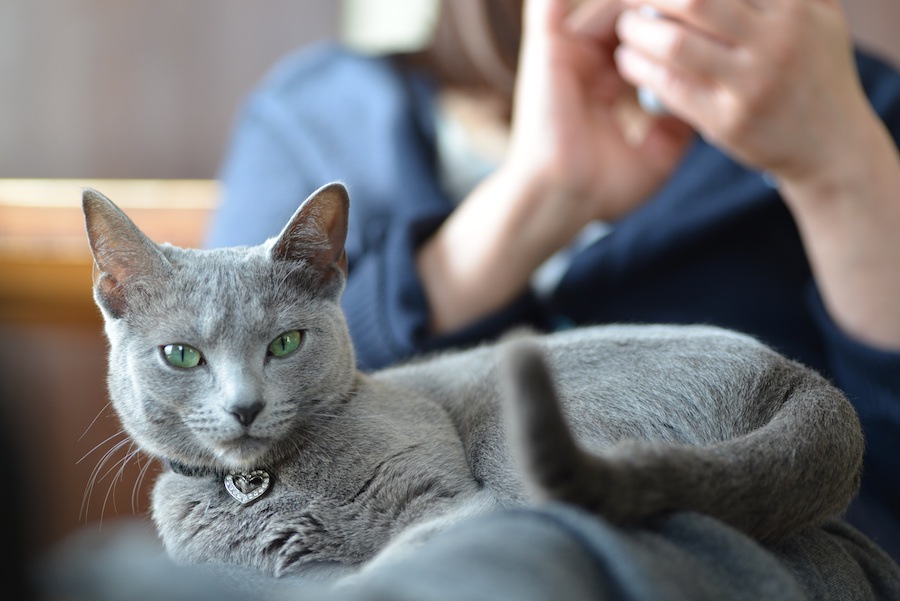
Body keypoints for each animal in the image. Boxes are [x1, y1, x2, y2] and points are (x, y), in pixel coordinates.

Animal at [82, 182, 864, 580]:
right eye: (182, 355)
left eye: (285, 343)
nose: (245, 406)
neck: (262, 485)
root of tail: (800, 375)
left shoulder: (454, 502)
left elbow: (392, 559)